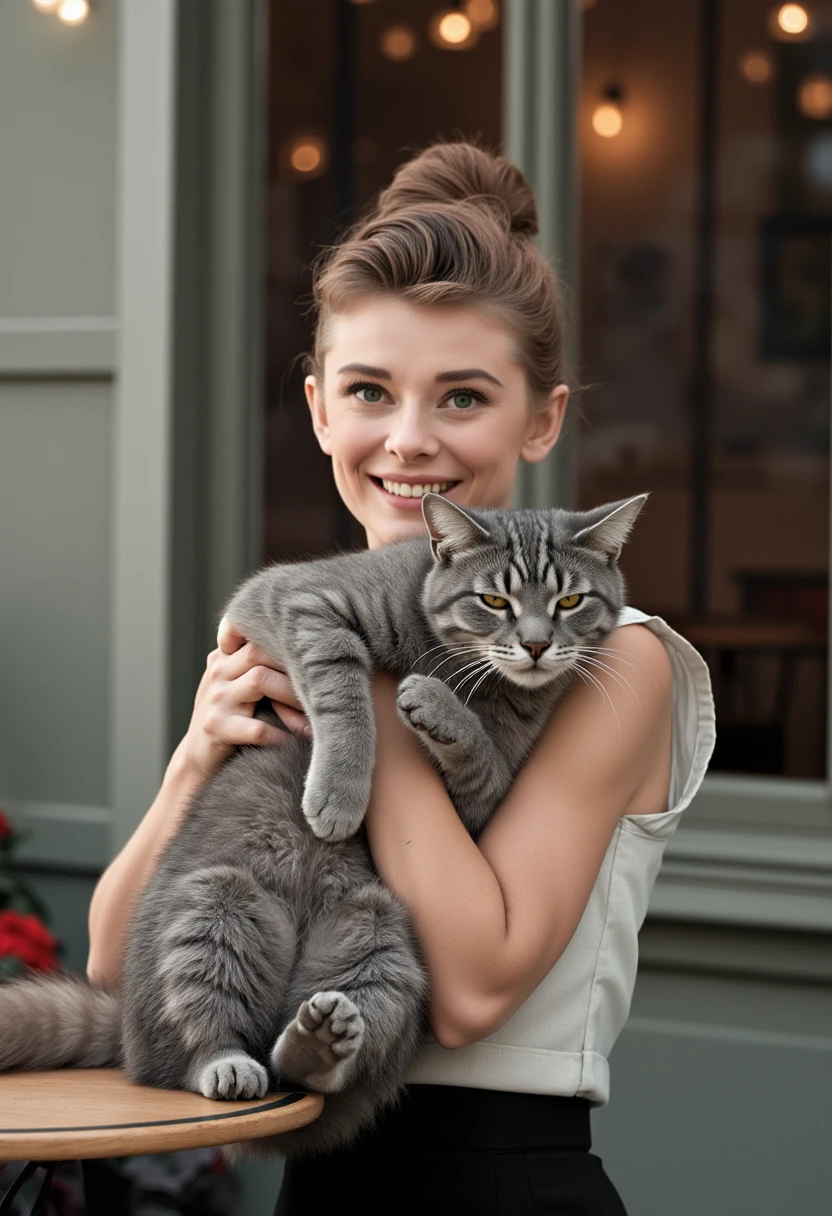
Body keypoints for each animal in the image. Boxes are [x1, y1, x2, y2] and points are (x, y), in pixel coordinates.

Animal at [0, 491, 642, 1157]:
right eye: (494, 601)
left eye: (570, 601)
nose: (538, 646)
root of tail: (125, 1026)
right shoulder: (298, 598)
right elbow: (343, 687)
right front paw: (339, 792)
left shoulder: (484, 806)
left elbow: (480, 759)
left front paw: (437, 707)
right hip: (214, 907)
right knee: (193, 1051)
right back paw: (227, 1062)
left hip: (380, 935)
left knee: (303, 1064)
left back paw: (319, 1042)